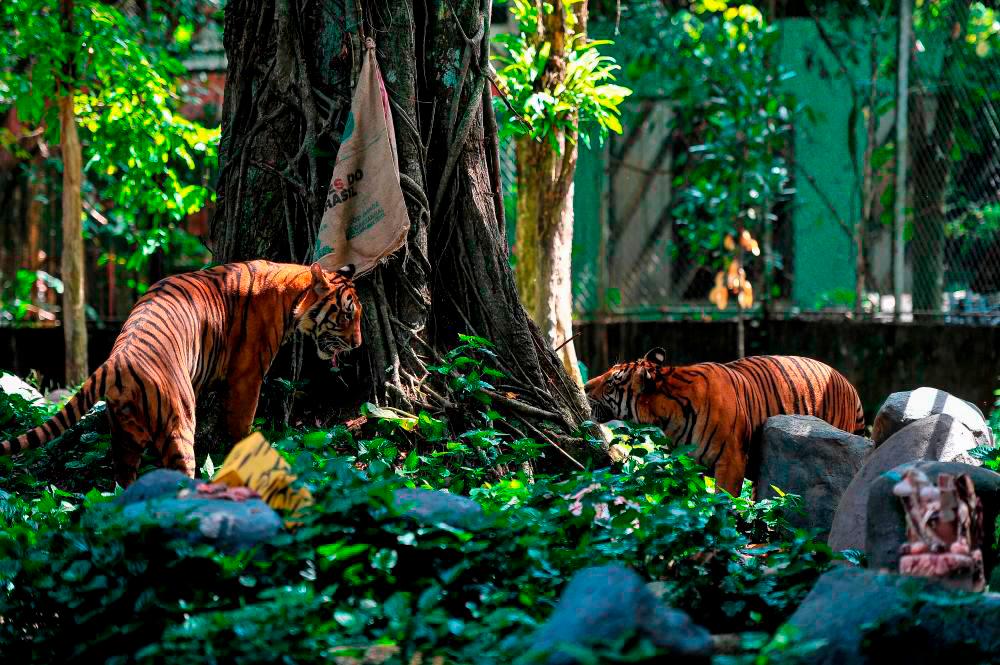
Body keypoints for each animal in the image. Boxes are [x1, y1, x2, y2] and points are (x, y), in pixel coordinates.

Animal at [1, 260, 362, 486]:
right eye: (346, 315)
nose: (358, 344)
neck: (293, 290)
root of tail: (117, 361)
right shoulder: (247, 376)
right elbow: (242, 423)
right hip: (179, 425)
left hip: (125, 436)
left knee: (123, 481)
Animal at [585, 348, 865, 496]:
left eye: (610, 382)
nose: (585, 386)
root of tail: (848, 383)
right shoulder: (689, 464)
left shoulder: (731, 462)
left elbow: (725, 502)